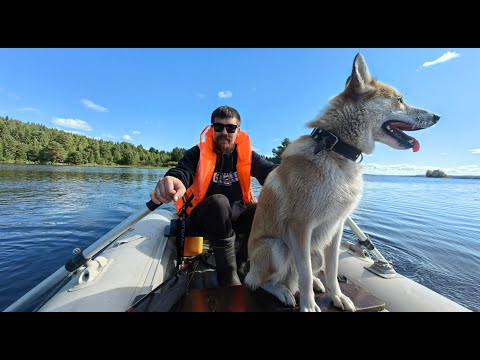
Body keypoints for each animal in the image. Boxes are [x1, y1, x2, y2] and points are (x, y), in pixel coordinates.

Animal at [246, 53, 440, 312]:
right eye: (400, 100)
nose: (437, 117)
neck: (336, 148)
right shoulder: (299, 227)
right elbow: (304, 273)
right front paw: (308, 306)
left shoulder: (336, 227)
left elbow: (332, 268)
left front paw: (336, 296)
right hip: (277, 248)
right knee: (261, 282)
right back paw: (284, 292)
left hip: (315, 250)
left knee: (301, 273)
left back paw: (315, 283)